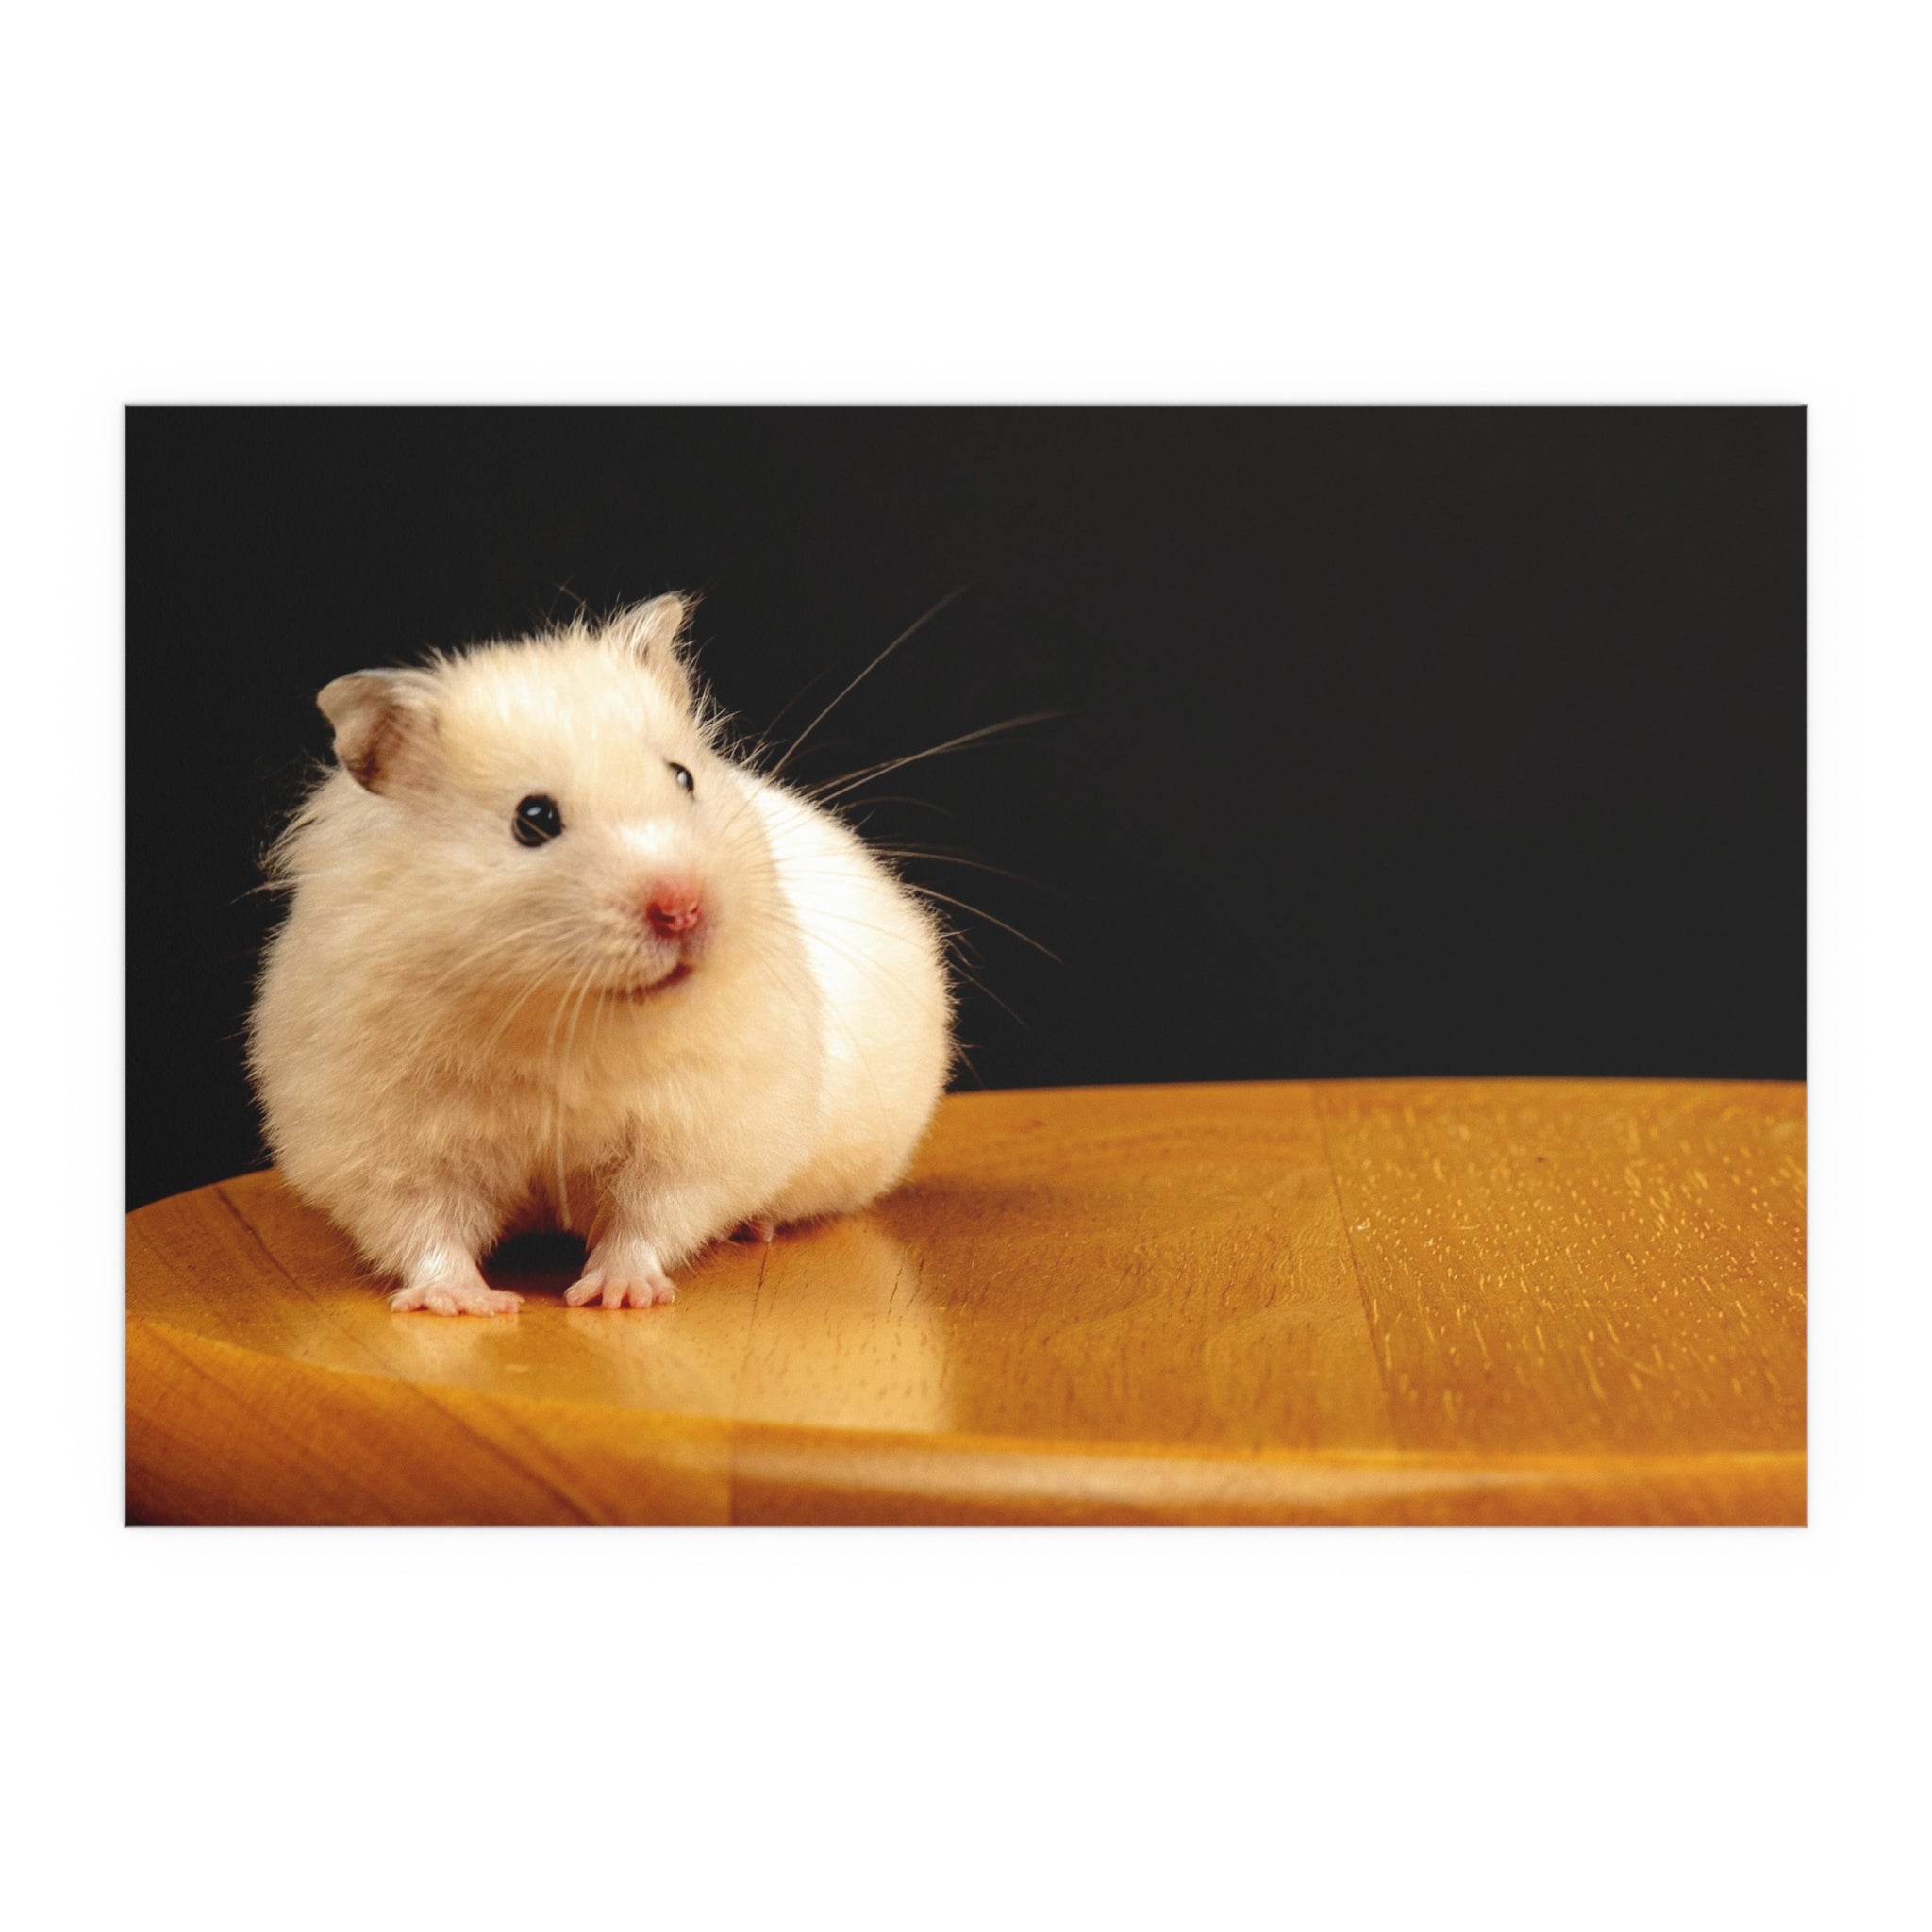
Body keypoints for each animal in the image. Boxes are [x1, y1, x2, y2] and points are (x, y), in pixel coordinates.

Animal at [247, 594, 954, 1315]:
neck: (562, 1018)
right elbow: (425, 1228)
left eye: (683, 777)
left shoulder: (695, 1132)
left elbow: (647, 1218)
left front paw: (616, 1295)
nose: (683, 908)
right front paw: (468, 1303)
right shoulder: (387, 1144)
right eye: (533, 820)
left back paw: (754, 1226)